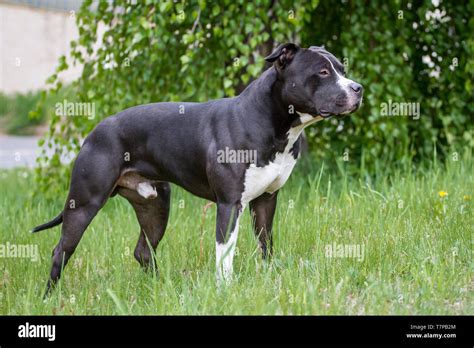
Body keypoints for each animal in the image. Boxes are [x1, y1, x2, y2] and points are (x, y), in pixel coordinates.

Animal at [32, 43, 362, 294]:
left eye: (342, 70)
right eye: (322, 72)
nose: (358, 88)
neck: (275, 122)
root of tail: (94, 131)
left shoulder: (266, 200)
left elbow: (266, 245)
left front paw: (268, 278)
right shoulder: (230, 204)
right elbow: (225, 254)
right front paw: (225, 292)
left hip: (155, 204)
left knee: (143, 250)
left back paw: (159, 289)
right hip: (84, 204)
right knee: (60, 251)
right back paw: (50, 297)